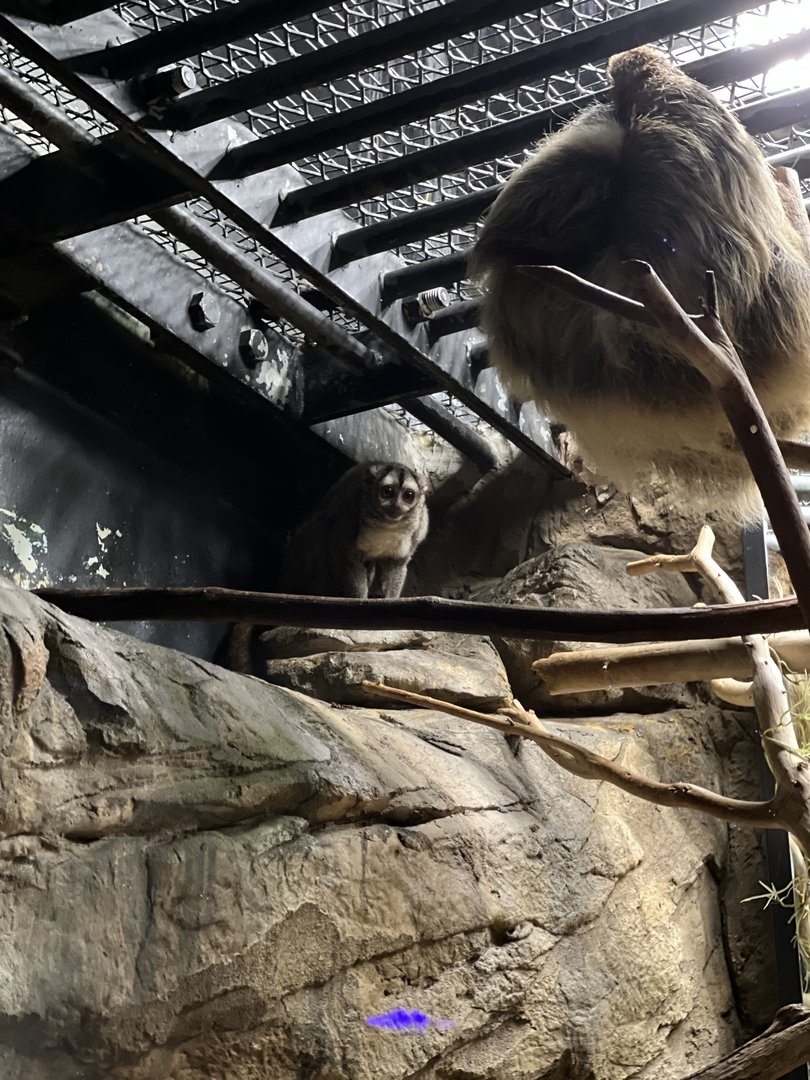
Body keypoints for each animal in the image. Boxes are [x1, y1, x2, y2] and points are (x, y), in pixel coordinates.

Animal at [229, 461, 428, 673]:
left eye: (408, 495)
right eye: (388, 491)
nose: (396, 506)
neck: (387, 524)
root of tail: (285, 580)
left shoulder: (419, 527)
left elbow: (397, 563)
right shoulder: (349, 506)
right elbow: (343, 550)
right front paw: (359, 604)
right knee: (321, 530)